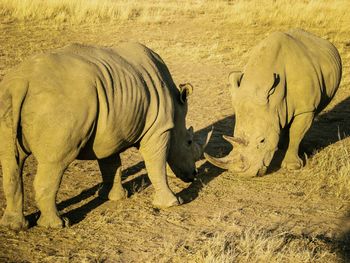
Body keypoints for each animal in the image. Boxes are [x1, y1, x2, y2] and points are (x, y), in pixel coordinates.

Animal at [0, 42, 209, 230]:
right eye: (189, 142)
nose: (193, 175)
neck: (176, 107)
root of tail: (21, 83)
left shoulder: (112, 127)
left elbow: (111, 164)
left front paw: (114, 197)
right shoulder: (159, 129)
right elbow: (156, 165)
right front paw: (172, 203)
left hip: (8, 95)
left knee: (11, 162)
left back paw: (15, 226)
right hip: (57, 105)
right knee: (55, 163)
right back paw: (57, 225)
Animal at [205, 28, 342, 177]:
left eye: (262, 141)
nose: (245, 174)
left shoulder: (305, 108)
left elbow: (296, 133)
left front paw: (292, 166)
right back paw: (282, 146)